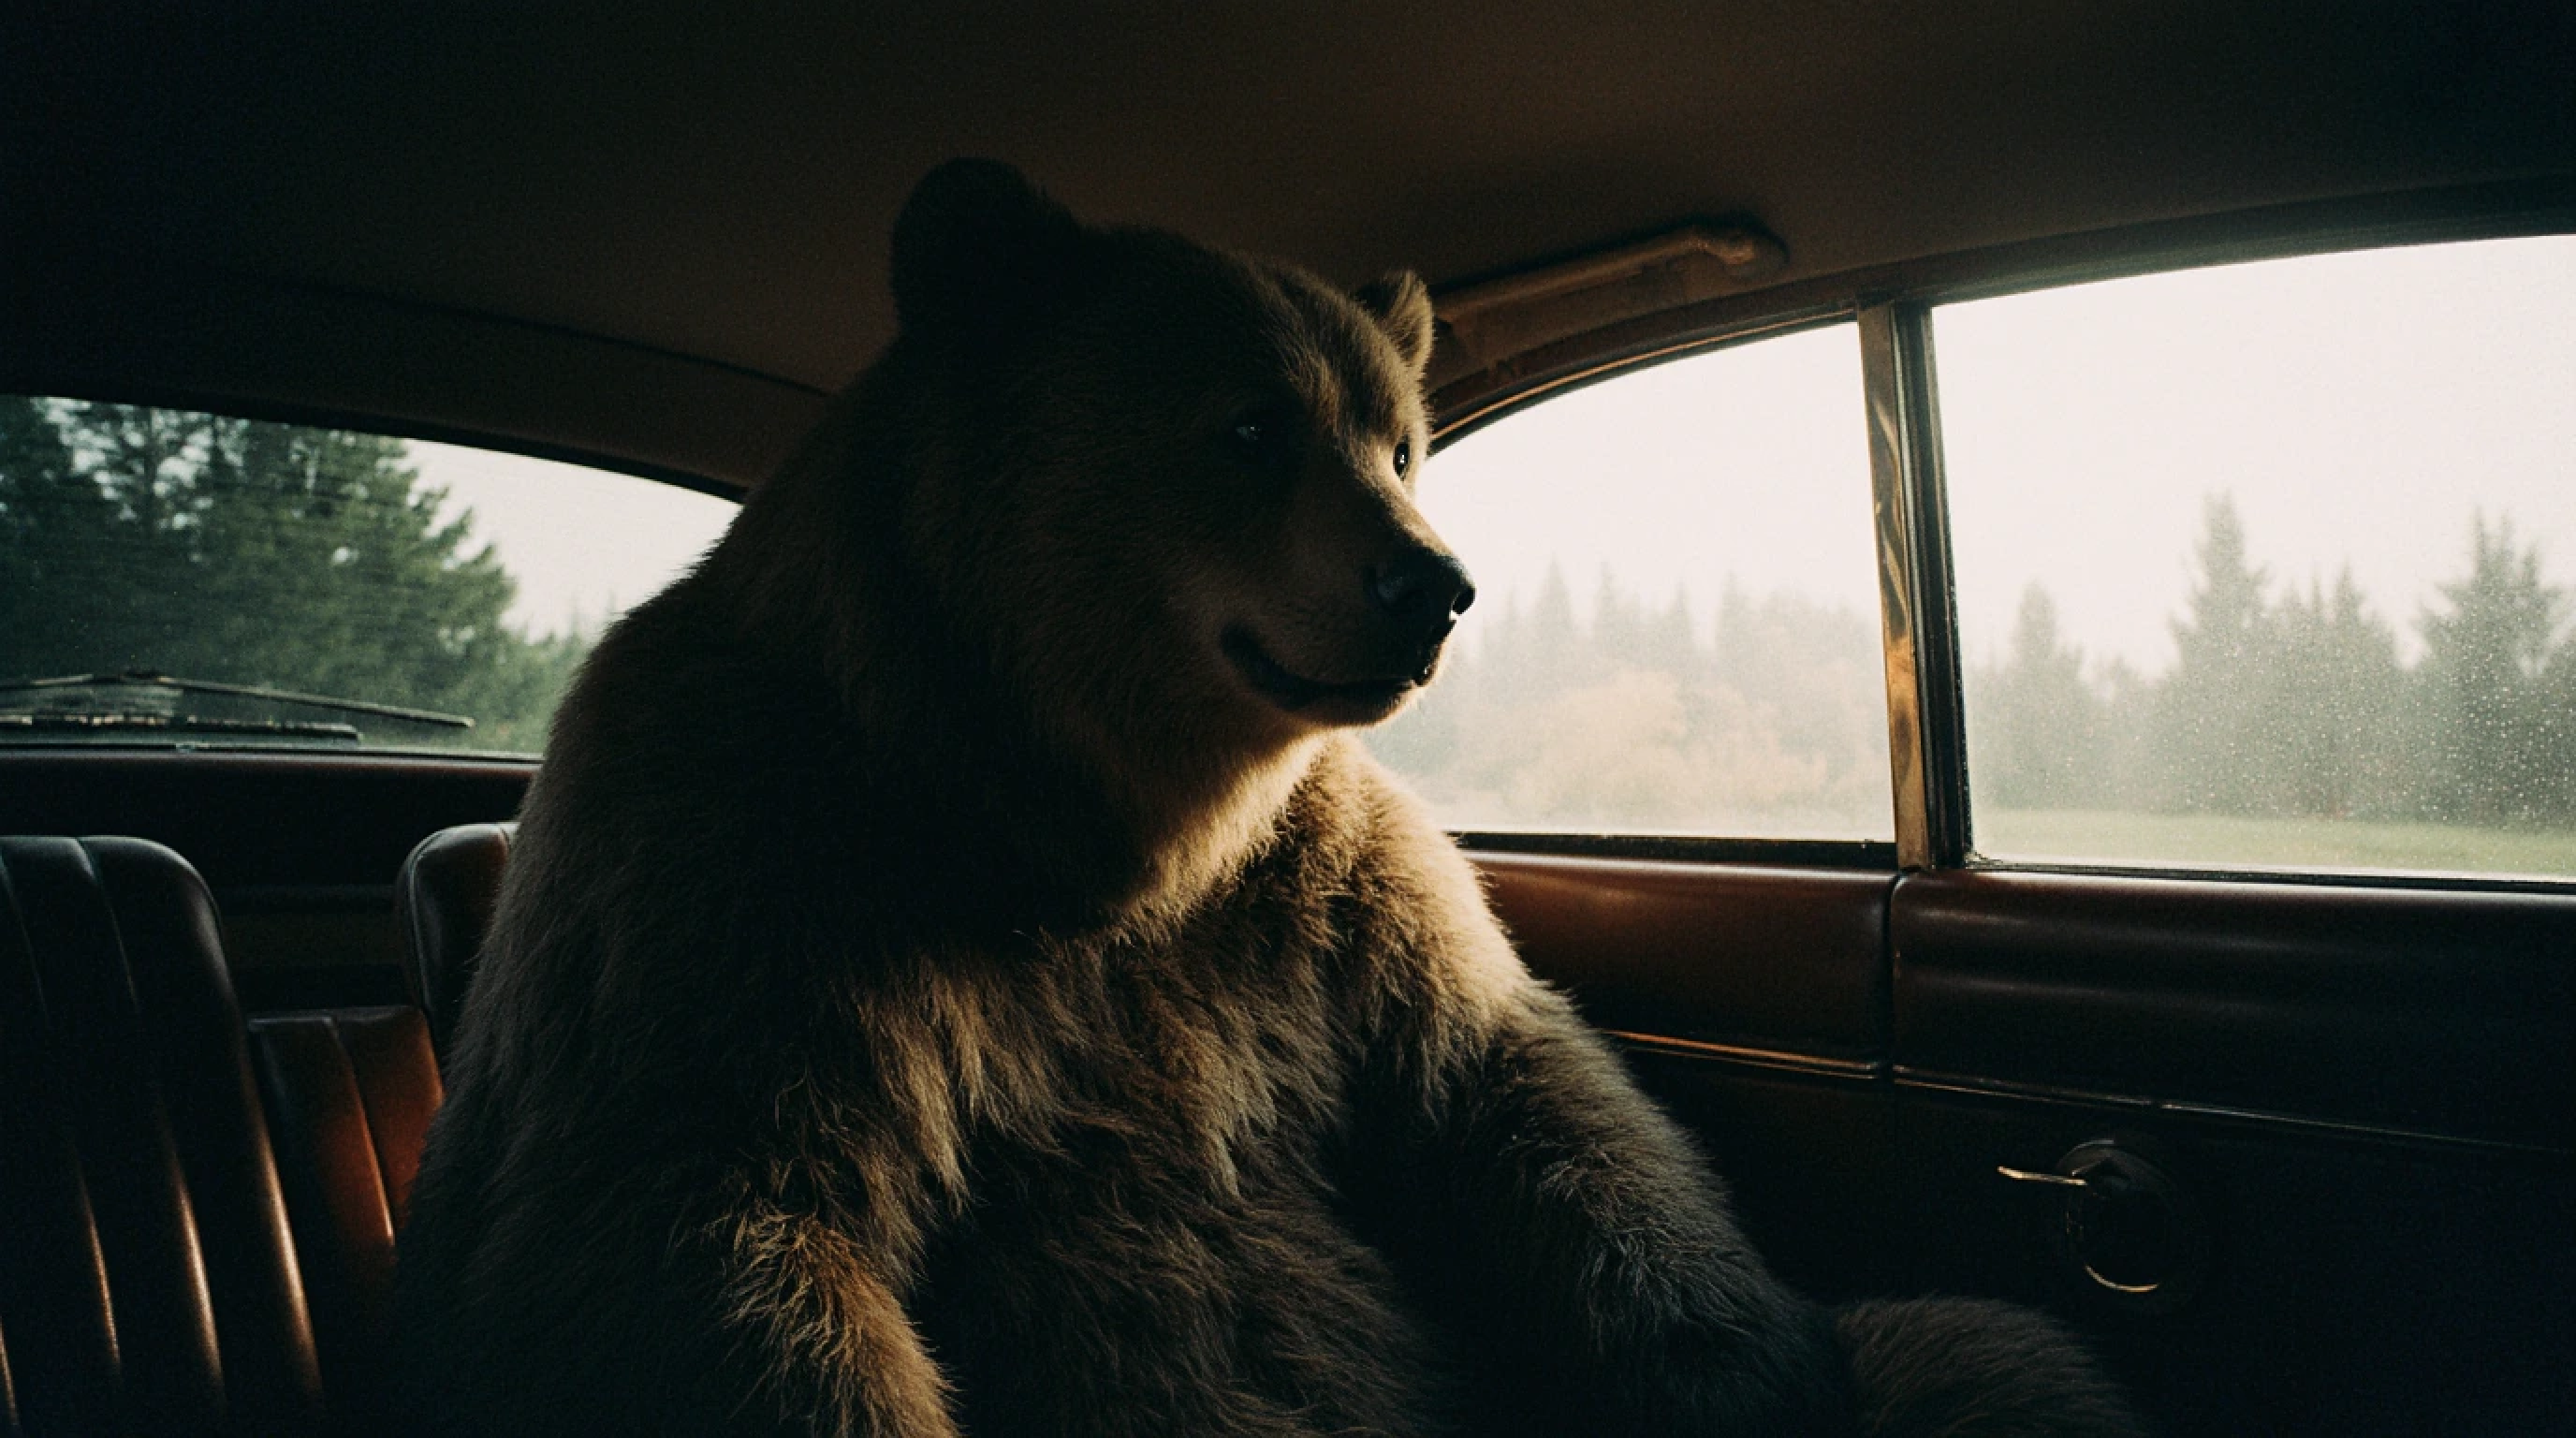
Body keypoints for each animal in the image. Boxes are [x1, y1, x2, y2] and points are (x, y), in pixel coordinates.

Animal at [392, 159, 2146, 1437]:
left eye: (1399, 441)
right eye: (1249, 424)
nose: (1432, 587)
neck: (1088, 806)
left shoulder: (1327, 894)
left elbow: (1525, 1100)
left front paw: (1742, 1369)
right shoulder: (743, 874)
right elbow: (716, 1220)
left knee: (1986, 1358)